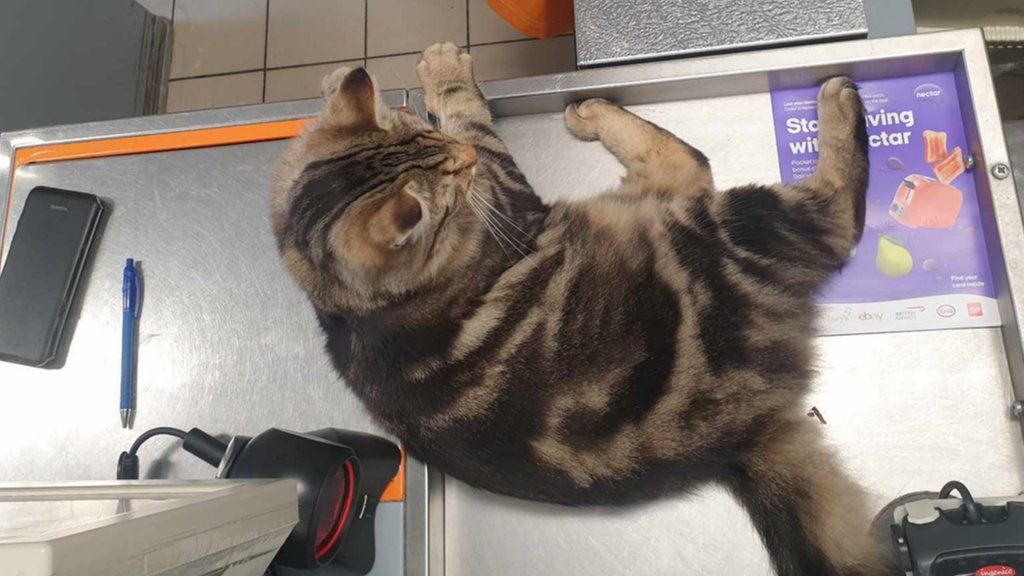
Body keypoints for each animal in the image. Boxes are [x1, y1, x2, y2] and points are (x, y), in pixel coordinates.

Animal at [272, 41, 888, 573]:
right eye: (451, 178)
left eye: (429, 134)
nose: (465, 159)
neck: (354, 310)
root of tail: (745, 433)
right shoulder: (508, 192)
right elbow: (470, 109)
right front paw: (447, 69)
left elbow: (467, 117)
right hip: (727, 227)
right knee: (821, 214)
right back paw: (837, 98)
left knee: (683, 163)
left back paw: (591, 112)